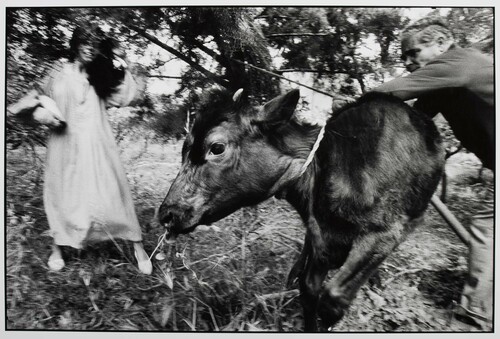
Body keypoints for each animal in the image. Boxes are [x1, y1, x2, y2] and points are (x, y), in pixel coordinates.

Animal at [158, 88, 444, 332]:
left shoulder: (386, 233)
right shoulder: (321, 238)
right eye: (184, 149)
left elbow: (333, 300)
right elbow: (308, 291)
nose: (167, 214)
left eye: (216, 147)